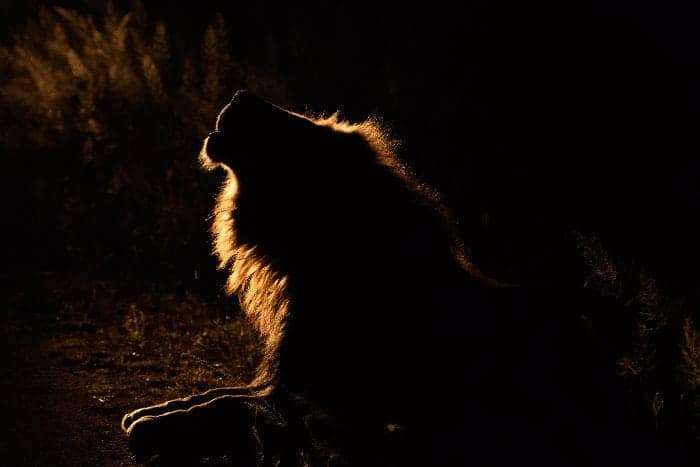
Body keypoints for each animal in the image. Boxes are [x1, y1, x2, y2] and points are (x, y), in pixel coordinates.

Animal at [123, 90, 652, 464]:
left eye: (303, 128)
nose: (239, 95)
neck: (298, 259)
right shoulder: (287, 379)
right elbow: (220, 392)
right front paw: (151, 411)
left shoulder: (327, 407)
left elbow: (231, 406)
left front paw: (152, 427)